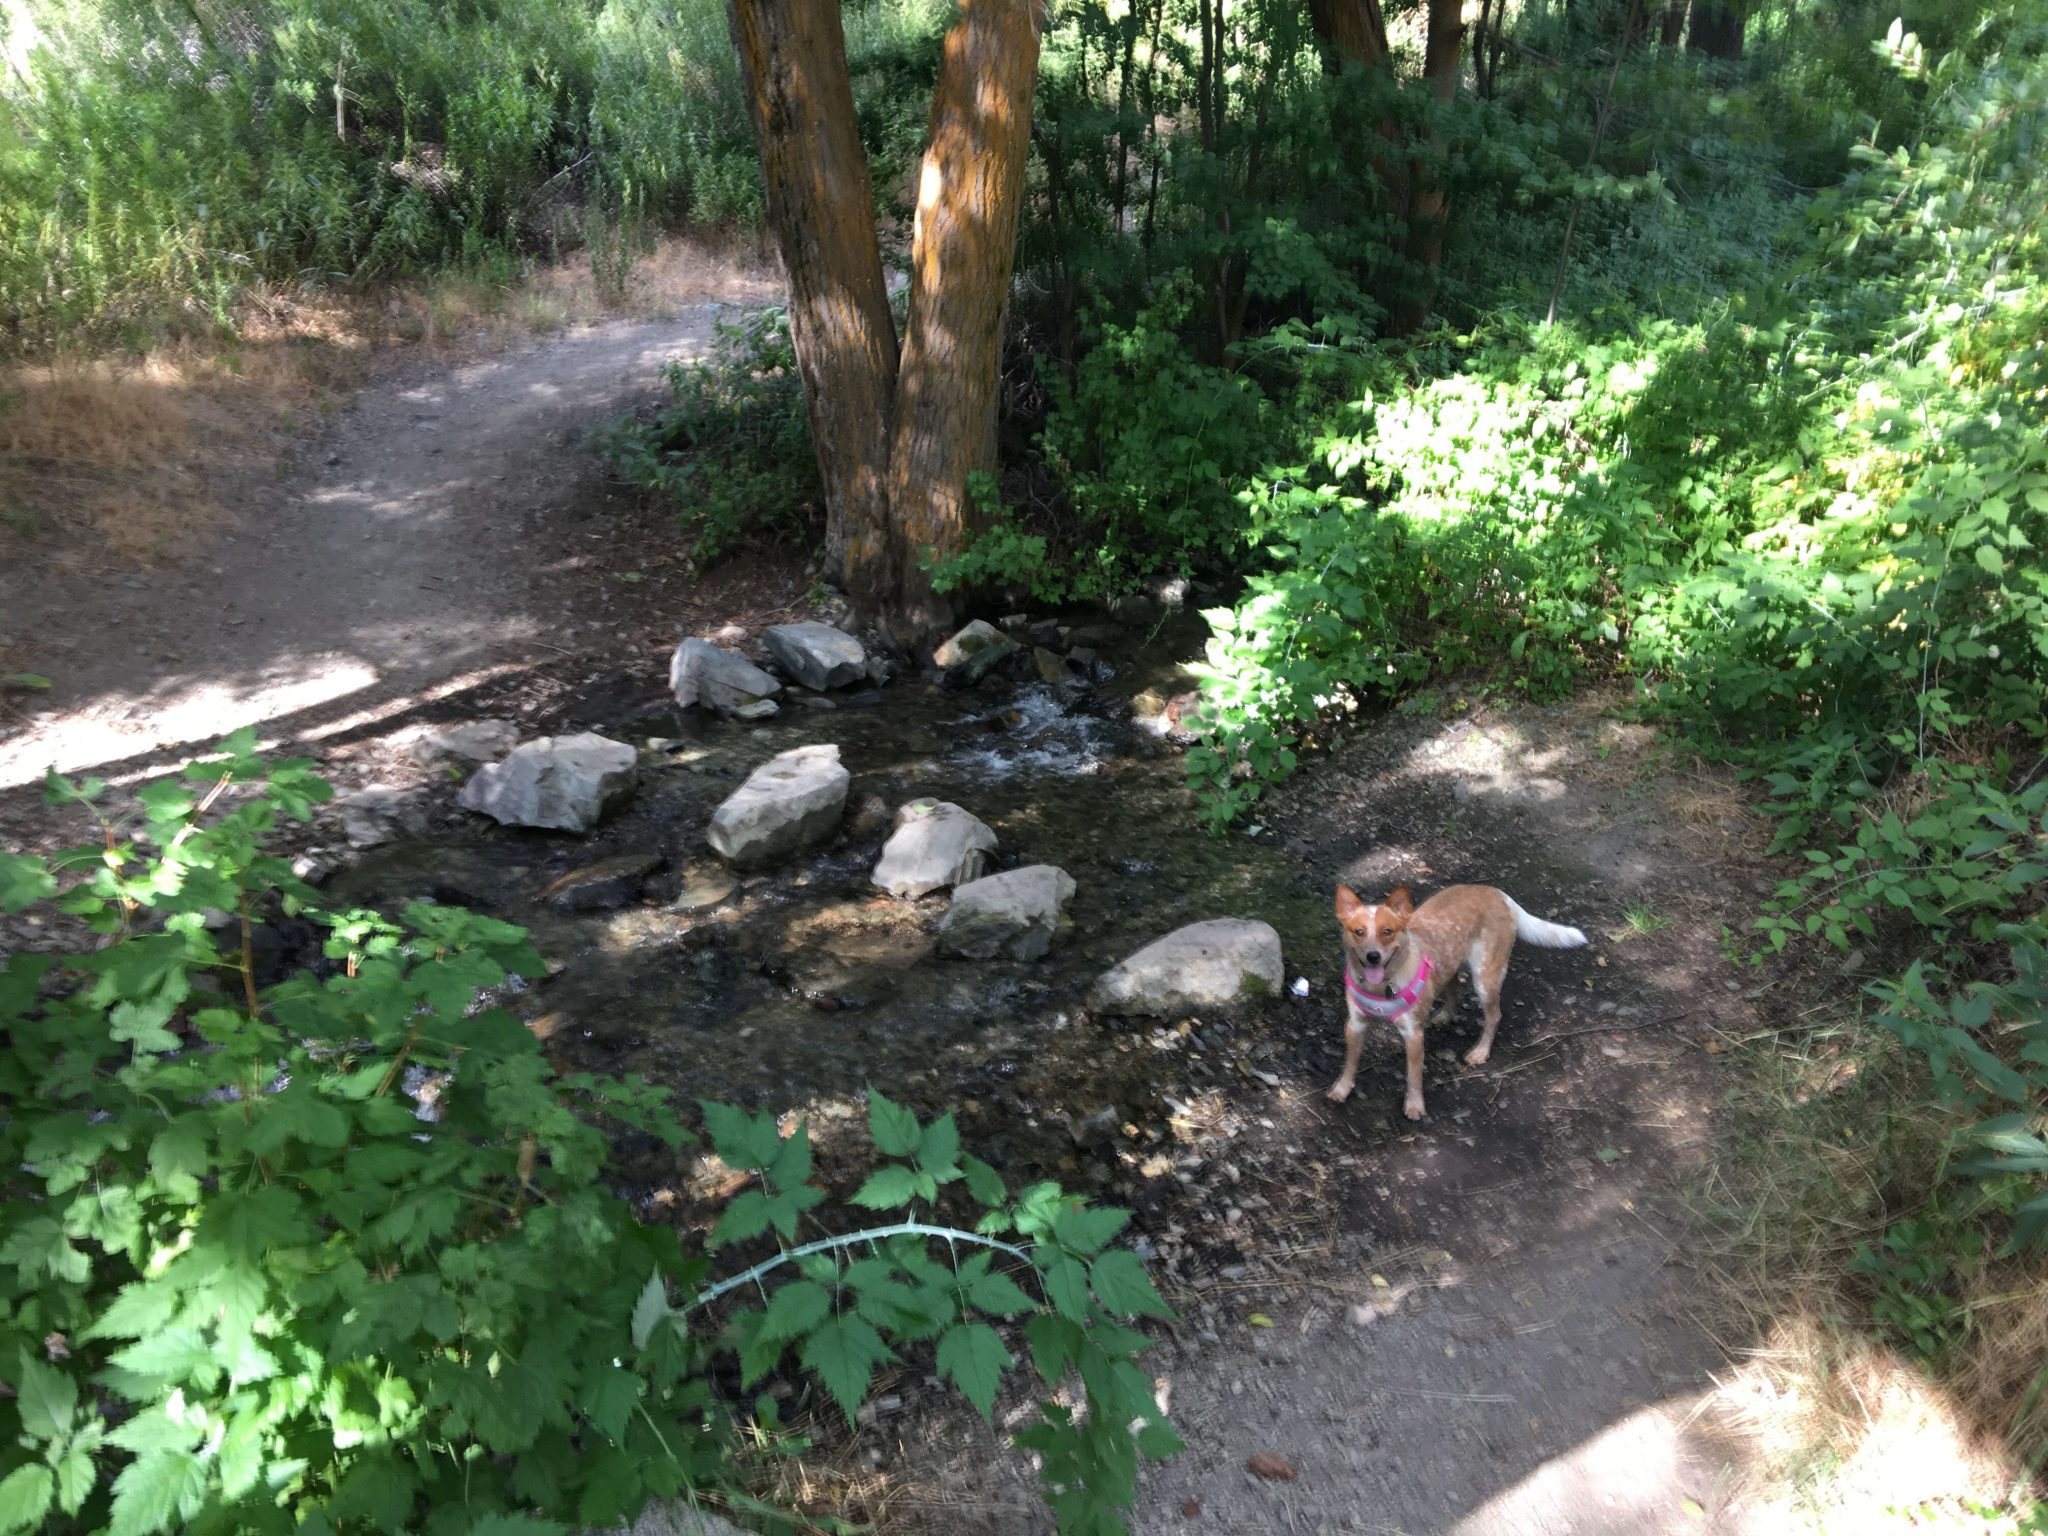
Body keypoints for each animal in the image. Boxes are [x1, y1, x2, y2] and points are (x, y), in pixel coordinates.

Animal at [1325, 884, 1588, 1120]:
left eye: (1387, 931)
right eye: (1358, 931)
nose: (1373, 956)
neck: (1382, 986)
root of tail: (1500, 895)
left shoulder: (1413, 1035)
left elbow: (1413, 1076)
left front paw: (1415, 1106)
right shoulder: (1355, 1025)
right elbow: (1350, 1063)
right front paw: (1341, 1088)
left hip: (1485, 979)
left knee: (1494, 1016)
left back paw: (1480, 1052)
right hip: (1452, 962)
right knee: (1454, 986)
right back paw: (1444, 1015)